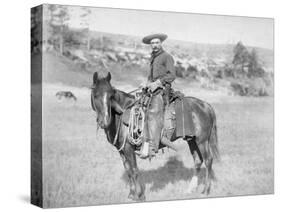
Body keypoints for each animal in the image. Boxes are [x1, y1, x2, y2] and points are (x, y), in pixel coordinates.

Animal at [89, 71, 219, 200]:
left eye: (111, 96)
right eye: (95, 95)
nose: (104, 121)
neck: (120, 115)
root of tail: (206, 105)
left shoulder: (128, 148)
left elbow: (134, 170)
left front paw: (139, 195)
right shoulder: (121, 150)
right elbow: (128, 170)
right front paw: (131, 194)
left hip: (202, 140)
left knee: (208, 160)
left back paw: (205, 191)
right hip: (191, 140)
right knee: (198, 160)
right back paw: (190, 189)